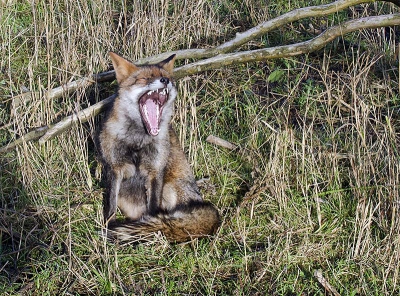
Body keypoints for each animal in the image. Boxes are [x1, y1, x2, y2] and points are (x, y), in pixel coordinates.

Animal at [99, 52, 220, 242]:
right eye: (145, 78)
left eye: (168, 77)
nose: (165, 80)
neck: (138, 141)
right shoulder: (115, 168)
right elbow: (111, 206)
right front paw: (108, 226)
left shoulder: (155, 170)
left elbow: (154, 210)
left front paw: (153, 230)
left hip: (170, 187)